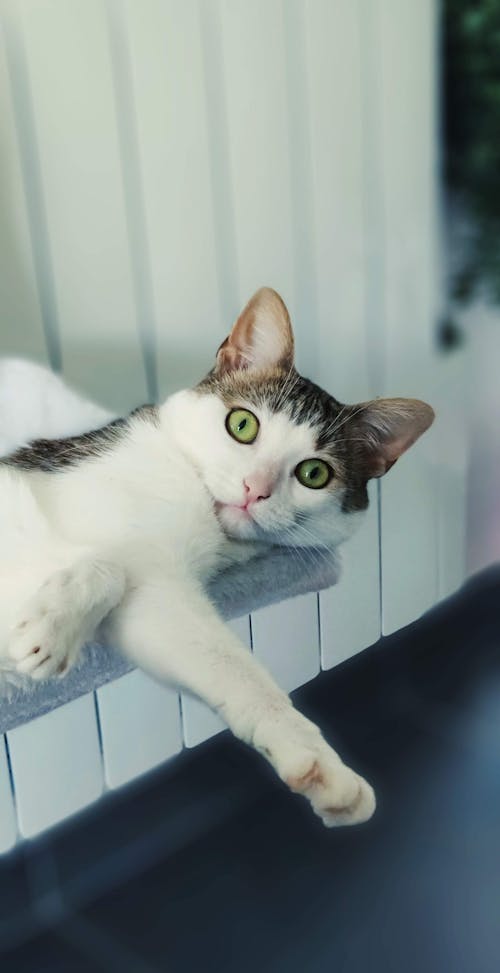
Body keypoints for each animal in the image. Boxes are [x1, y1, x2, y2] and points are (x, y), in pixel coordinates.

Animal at [0, 288, 434, 828]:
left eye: (314, 474)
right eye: (242, 425)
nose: (255, 489)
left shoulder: (160, 596)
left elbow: (226, 666)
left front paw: (315, 765)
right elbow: (105, 566)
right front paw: (47, 631)